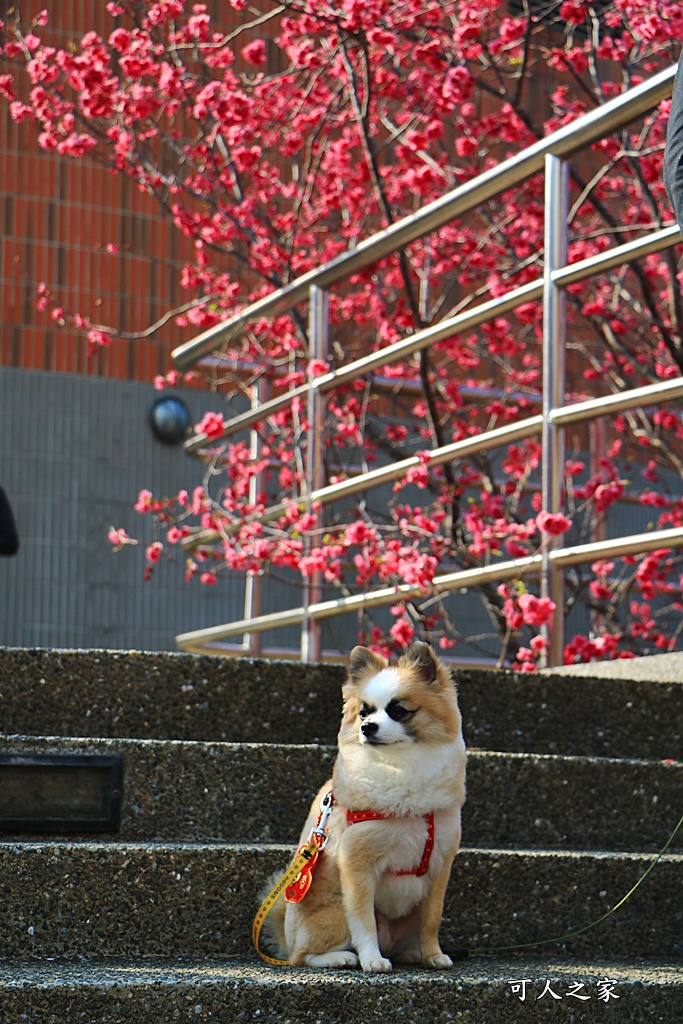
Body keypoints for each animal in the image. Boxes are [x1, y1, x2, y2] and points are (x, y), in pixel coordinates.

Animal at [260, 643, 464, 970]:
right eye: (364, 712)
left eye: (398, 711)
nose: (368, 727)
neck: (401, 766)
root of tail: (286, 936)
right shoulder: (356, 865)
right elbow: (364, 922)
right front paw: (372, 960)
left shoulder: (439, 868)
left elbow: (432, 920)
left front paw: (434, 954)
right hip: (334, 913)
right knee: (302, 956)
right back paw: (341, 957)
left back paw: (411, 953)